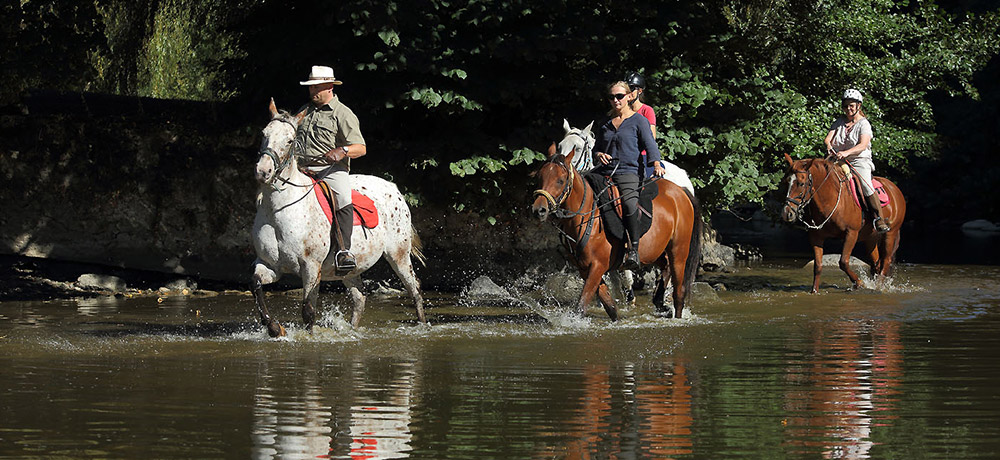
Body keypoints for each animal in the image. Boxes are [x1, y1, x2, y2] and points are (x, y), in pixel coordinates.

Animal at [254, 98, 426, 334]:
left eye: (289, 141)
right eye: (264, 134)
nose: (263, 171)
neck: (278, 210)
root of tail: (394, 188)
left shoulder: (311, 267)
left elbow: (308, 311)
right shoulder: (269, 264)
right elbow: (256, 286)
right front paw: (274, 328)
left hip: (398, 255)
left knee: (414, 289)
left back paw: (423, 324)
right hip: (351, 269)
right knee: (359, 299)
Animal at [532, 144, 704, 320]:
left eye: (560, 180)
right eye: (539, 177)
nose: (539, 210)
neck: (588, 215)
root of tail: (681, 191)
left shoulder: (597, 266)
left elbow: (582, 304)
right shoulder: (585, 269)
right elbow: (610, 306)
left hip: (679, 251)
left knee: (679, 292)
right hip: (656, 252)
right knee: (666, 267)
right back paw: (659, 302)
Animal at [776, 154, 912, 292]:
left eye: (801, 183)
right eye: (786, 182)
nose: (787, 213)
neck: (830, 199)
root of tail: (894, 188)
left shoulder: (851, 233)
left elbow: (843, 262)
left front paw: (859, 283)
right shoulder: (816, 236)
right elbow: (818, 266)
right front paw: (814, 291)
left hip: (890, 234)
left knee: (886, 261)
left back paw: (878, 286)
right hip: (870, 238)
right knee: (876, 263)